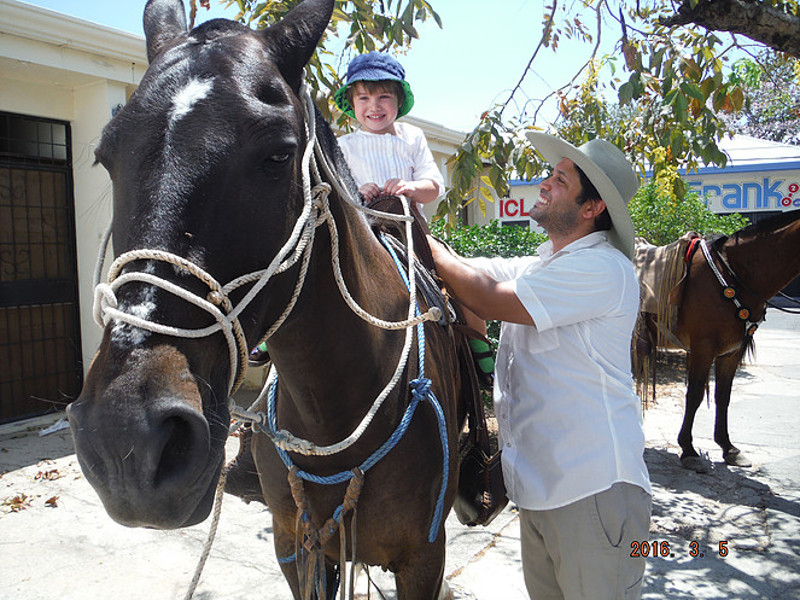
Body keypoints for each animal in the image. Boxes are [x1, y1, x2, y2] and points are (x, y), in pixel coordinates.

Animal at [69, 1, 472, 600]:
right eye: (104, 156)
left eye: (280, 153)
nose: (126, 439)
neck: (336, 415)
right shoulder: (295, 546)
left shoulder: (424, 558)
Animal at [636, 211, 800, 474]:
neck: (734, 275)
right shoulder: (703, 348)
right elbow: (694, 396)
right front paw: (688, 450)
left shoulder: (731, 353)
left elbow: (723, 396)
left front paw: (728, 447)